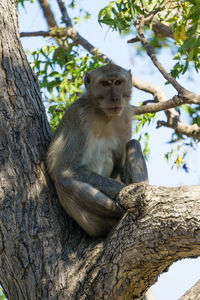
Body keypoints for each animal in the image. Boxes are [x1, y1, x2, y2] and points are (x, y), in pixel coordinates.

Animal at [46, 62, 148, 237]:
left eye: (118, 82)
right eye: (105, 84)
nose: (115, 98)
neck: (102, 114)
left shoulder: (124, 119)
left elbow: (120, 164)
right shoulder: (78, 115)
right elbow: (65, 168)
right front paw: (126, 190)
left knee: (133, 143)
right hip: (92, 226)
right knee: (65, 182)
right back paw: (118, 211)